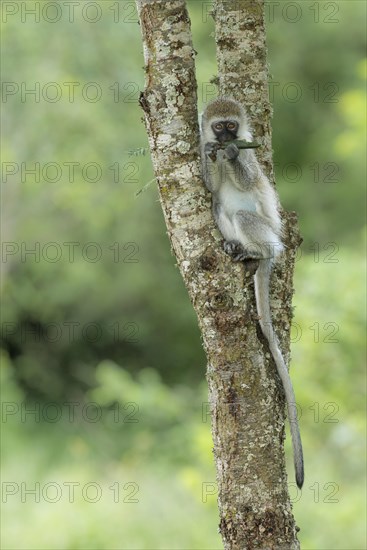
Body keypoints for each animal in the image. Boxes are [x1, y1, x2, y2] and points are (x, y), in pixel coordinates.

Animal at [201, 97, 304, 490]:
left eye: (232, 126)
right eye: (218, 126)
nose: (226, 139)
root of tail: (273, 247)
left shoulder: (250, 157)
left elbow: (245, 173)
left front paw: (231, 155)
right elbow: (210, 187)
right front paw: (212, 156)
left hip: (266, 233)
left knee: (247, 218)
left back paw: (255, 253)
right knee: (219, 206)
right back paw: (238, 251)